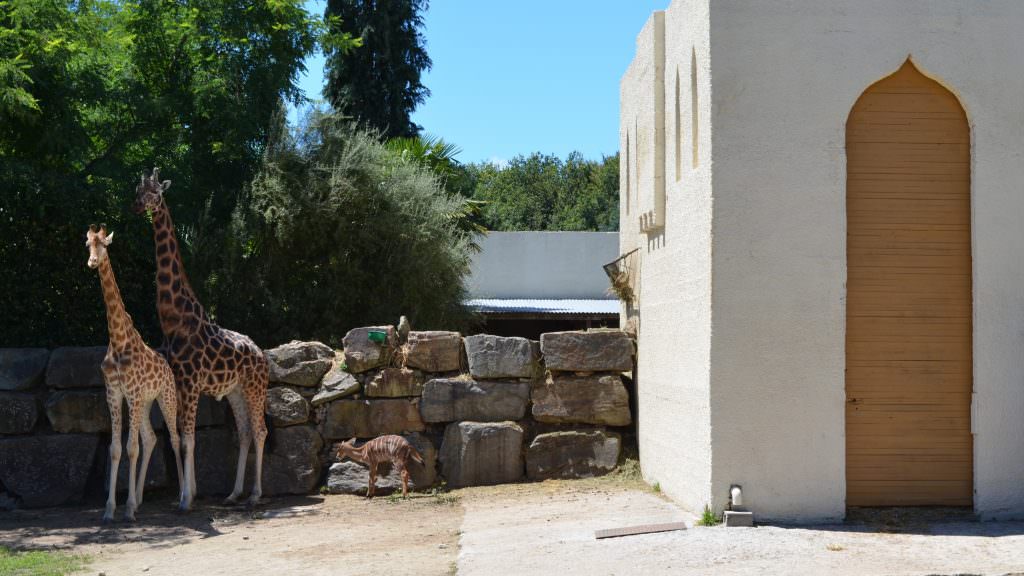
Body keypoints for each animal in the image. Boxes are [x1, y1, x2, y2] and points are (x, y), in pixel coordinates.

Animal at [86, 224, 184, 520]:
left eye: (104, 245)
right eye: (88, 244)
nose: (92, 262)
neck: (118, 340)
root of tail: (167, 366)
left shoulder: (133, 394)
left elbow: (131, 449)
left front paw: (127, 509)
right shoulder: (115, 394)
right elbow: (116, 449)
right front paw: (110, 509)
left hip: (164, 398)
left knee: (175, 439)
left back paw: (184, 497)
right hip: (145, 402)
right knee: (151, 439)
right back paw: (140, 498)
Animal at [134, 168, 270, 508]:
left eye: (156, 192)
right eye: (137, 191)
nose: (137, 207)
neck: (173, 320)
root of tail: (263, 355)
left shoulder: (192, 383)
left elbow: (189, 439)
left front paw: (186, 500)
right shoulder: (181, 383)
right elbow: (182, 437)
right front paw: (189, 493)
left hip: (255, 386)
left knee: (260, 431)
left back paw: (255, 495)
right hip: (235, 390)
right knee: (245, 432)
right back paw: (234, 493)